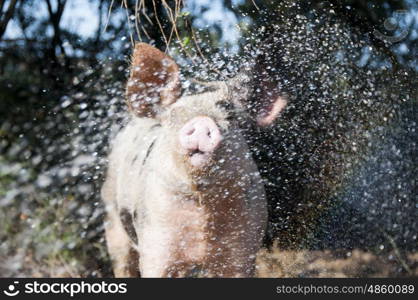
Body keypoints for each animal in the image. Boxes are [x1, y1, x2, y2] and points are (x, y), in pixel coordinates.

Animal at [100, 42, 288, 278]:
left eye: (230, 115)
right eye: (174, 114)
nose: (202, 121)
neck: (202, 204)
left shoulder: (243, 249)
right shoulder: (155, 242)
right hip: (113, 219)